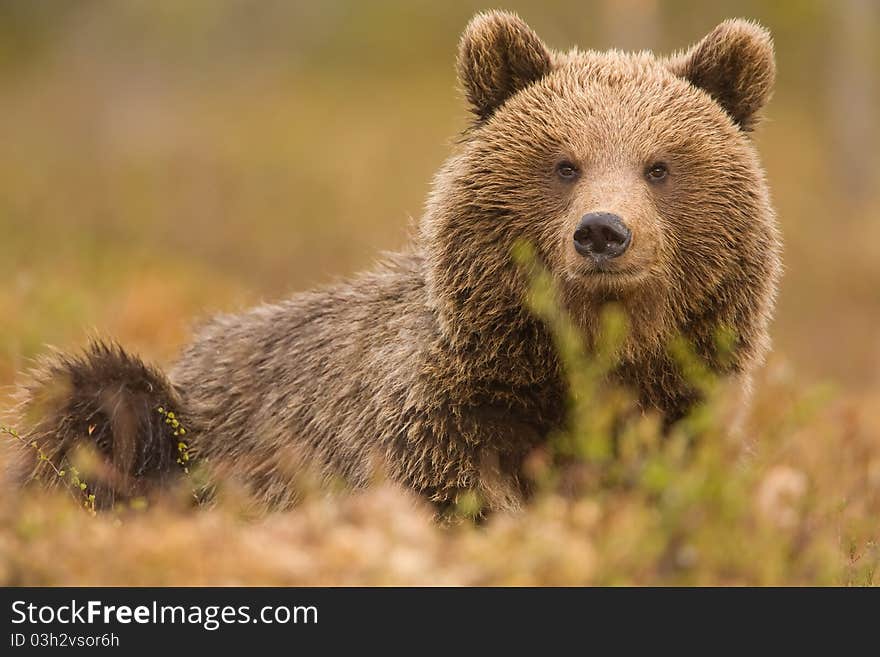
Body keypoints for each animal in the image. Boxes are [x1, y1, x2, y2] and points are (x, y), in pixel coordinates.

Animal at [6, 11, 776, 512]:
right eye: (564, 163)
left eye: (659, 166)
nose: (602, 232)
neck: (574, 363)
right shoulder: (433, 426)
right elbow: (453, 499)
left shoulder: (676, 421)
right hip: (177, 424)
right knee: (94, 401)